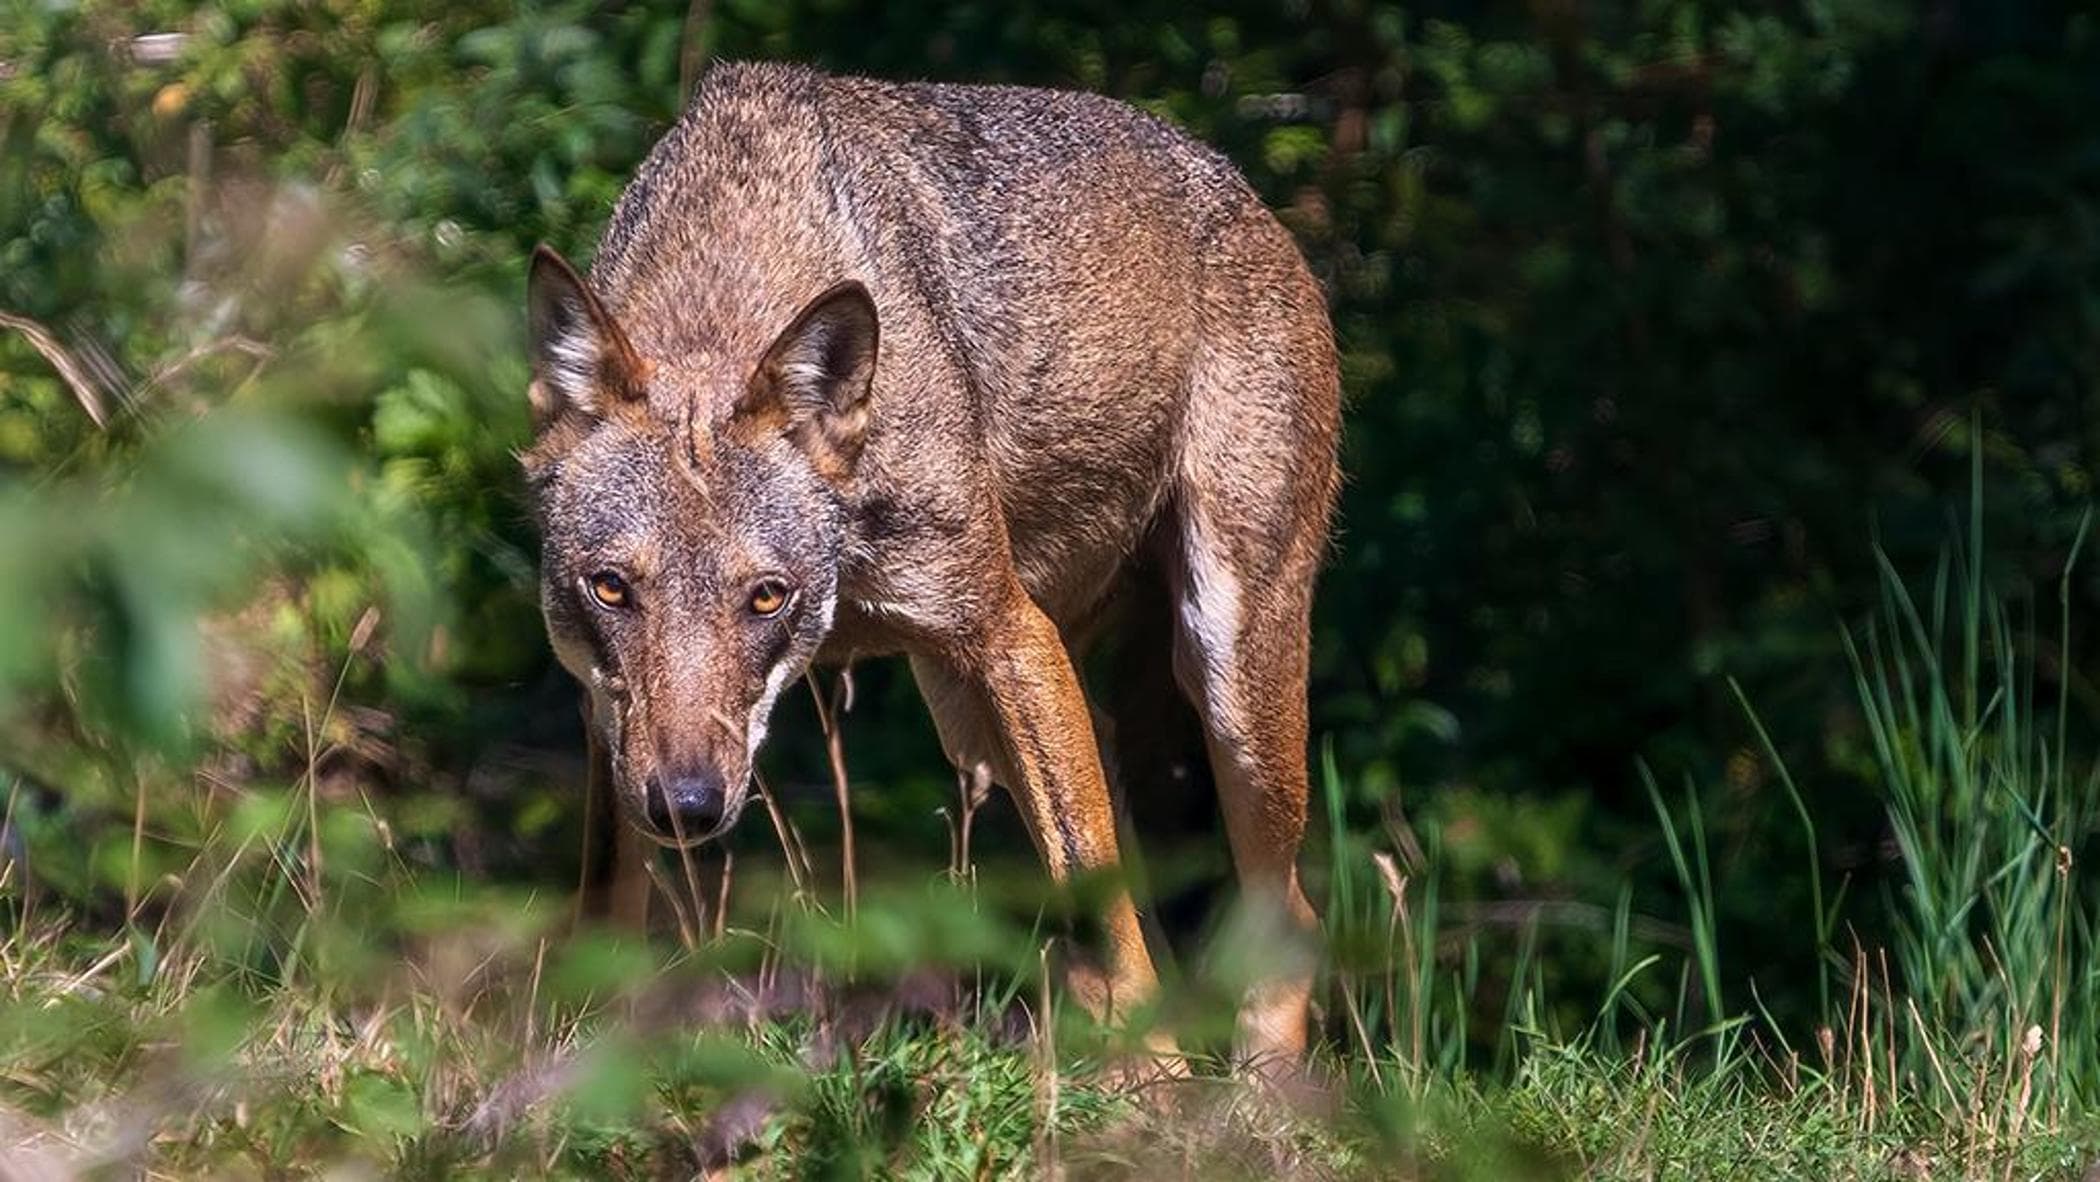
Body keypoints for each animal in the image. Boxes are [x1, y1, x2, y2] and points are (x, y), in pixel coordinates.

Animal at [523, 61, 1339, 1065]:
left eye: (766, 598)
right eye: (611, 589)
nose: (688, 804)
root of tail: (1245, 191)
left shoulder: (1009, 632)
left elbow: (1102, 901)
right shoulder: (605, 712)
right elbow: (604, 910)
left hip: (1223, 675)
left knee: (1281, 918)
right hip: (975, 718)